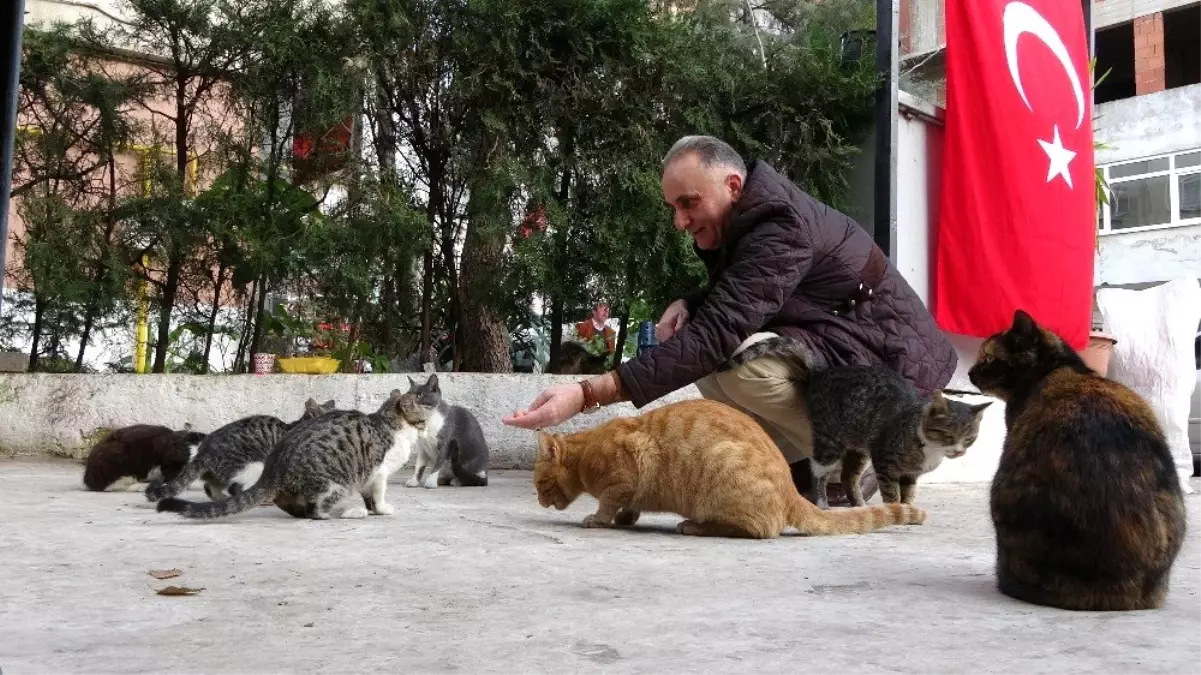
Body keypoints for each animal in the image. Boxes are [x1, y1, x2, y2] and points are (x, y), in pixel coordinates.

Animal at [538, 398, 927, 535]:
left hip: (722, 472)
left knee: (761, 530)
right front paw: (625, 518)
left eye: (540, 484)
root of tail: (790, 490)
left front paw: (600, 519)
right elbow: (629, 506)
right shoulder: (631, 487)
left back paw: (695, 526)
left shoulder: (626, 472)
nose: (540, 501)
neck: (586, 450)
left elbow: (608, 502)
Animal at [802, 362, 989, 504]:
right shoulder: (884, 462)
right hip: (829, 442)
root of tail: (820, 373)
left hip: (861, 447)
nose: (959, 452)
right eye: (948, 435)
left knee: (847, 476)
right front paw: (894, 510)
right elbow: (891, 492)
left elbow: (908, 492)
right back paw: (822, 503)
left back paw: (859, 503)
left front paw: (907, 510)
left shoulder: (910, 474)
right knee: (818, 473)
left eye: (969, 439)